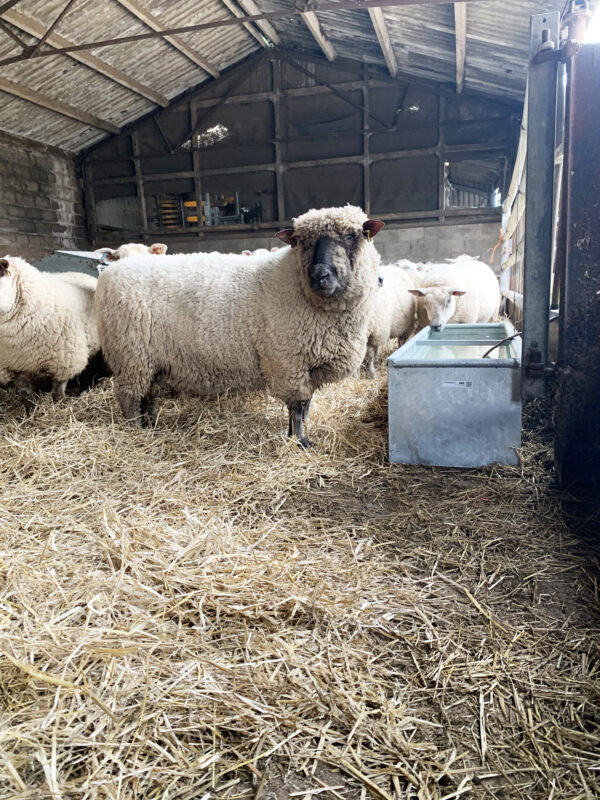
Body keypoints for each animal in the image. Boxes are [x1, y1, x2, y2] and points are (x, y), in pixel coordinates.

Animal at [0, 256, 101, 410]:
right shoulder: (14, 365)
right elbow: (25, 392)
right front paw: (31, 409)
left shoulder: (66, 361)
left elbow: (58, 391)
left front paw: (57, 406)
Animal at [95, 203, 382, 446]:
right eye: (302, 242)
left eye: (351, 236)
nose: (320, 276)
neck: (295, 282)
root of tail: (110, 274)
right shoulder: (287, 362)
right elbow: (298, 408)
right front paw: (300, 441)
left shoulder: (306, 365)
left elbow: (306, 405)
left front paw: (295, 435)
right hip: (129, 355)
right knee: (129, 398)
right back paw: (136, 430)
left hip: (147, 360)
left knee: (147, 396)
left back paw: (150, 426)